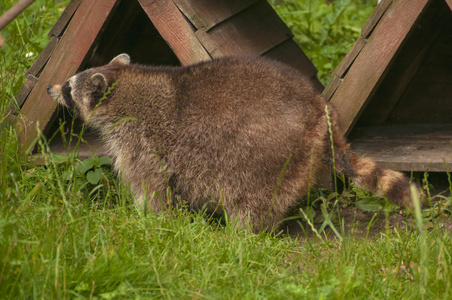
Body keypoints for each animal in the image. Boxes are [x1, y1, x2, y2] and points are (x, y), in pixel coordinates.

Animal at [46, 54, 420, 232]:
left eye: (69, 87)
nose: (50, 88)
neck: (127, 83)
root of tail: (319, 110)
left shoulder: (140, 141)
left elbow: (152, 188)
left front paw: (148, 218)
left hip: (269, 151)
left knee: (252, 197)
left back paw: (244, 232)